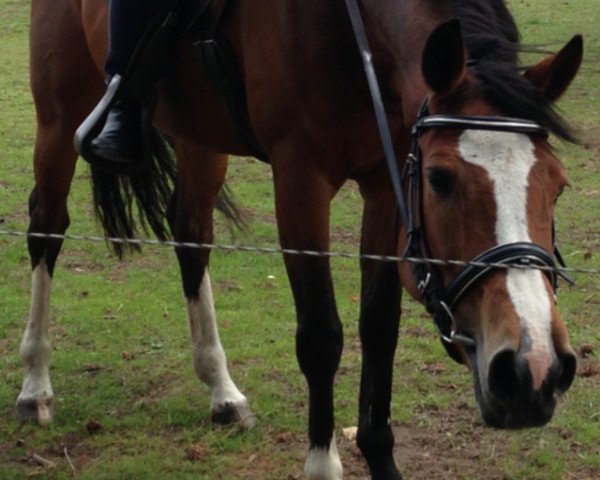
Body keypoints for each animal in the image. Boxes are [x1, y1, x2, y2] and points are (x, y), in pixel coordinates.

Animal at [23, 0, 580, 478]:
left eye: (557, 184)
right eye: (440, 179)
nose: (533, 372)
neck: (354, 33)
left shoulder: (386, 182)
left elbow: (379, 327)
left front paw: (379, 456)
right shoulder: (299, 182)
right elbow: (320, 336)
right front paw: (322, 464)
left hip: (198, 136)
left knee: (191, 235)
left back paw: (221, 391)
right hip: (58, 116)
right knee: (45, 228)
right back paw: (35, 385)